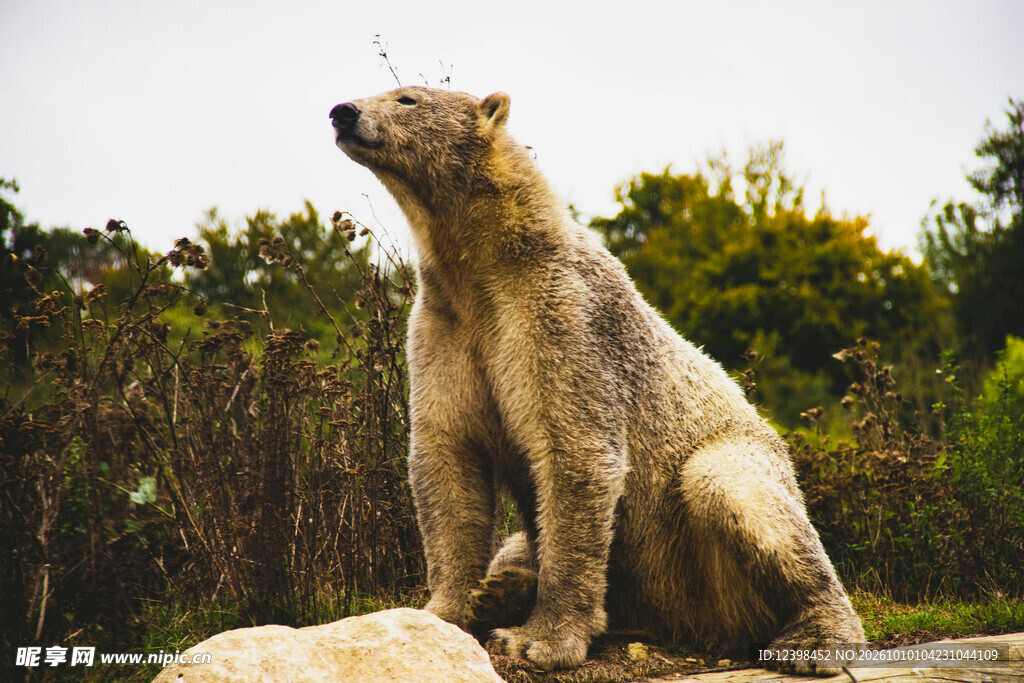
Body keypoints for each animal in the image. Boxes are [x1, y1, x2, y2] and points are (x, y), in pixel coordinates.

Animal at [329, 85, 865, 674]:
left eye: (407, 98)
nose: (343, 112)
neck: (491, 265)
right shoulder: (443, 326)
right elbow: (448, 455)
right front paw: (447, 609)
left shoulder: (566, 319)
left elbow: (576, 453)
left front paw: (538, 640)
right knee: (517, 542)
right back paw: (503, 589)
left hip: (728, 504)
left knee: (733, 490)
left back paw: (816, 637)